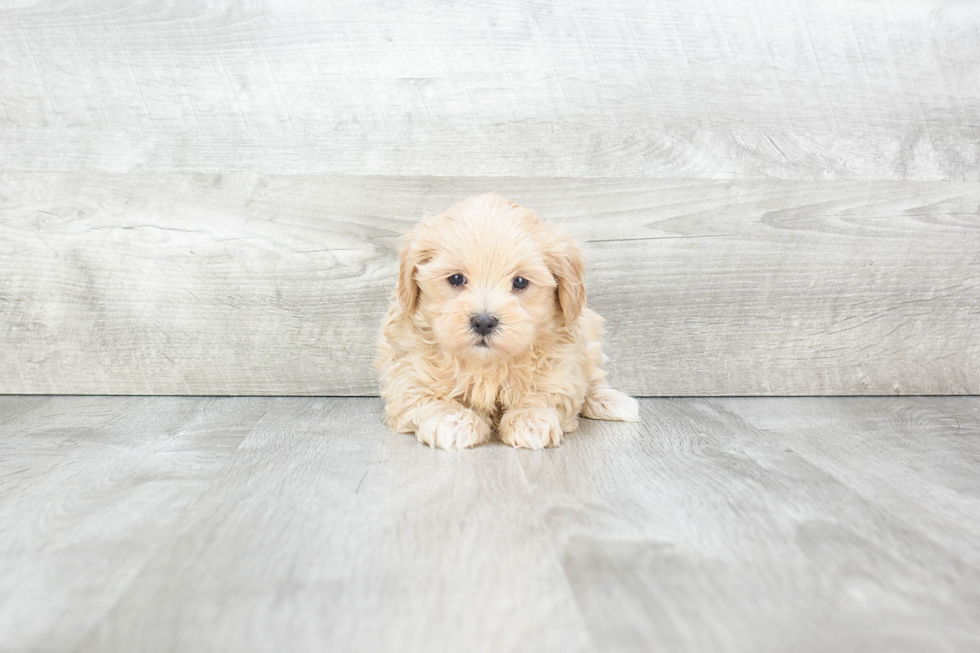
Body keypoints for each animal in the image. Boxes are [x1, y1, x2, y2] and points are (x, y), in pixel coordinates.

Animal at [374, 191, 636, 450]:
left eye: (520, 282)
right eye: (456, 279)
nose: (483, 322)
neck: (487, 364)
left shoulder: (562, 362)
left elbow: (549, 390)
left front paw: (531, 420)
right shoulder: (408, 369)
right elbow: (421, 395)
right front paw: (453, 420)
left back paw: (610, 400)